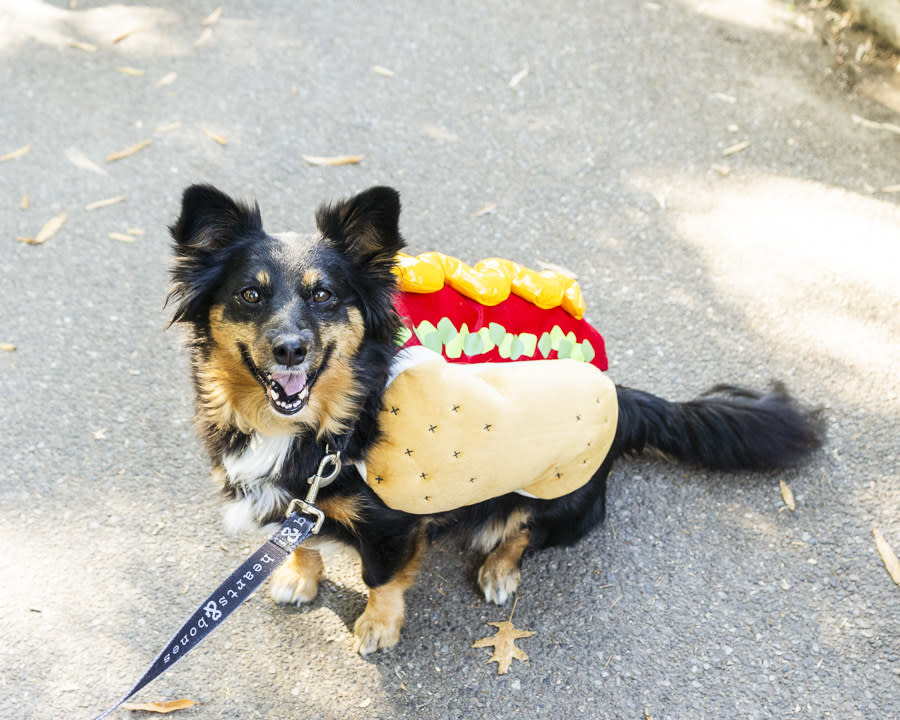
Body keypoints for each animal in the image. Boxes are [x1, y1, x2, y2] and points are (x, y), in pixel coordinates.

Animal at [169, 183, 824, 656]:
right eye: (250, 295)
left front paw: (378, 628)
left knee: (527, 531)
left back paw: (499, 570)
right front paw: (298, 578)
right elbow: (300, 543)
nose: (290, 350)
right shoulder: (295, 505)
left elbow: (382, 581)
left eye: (323, 295)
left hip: (559, 492)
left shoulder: (393, 526)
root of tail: (618, 393)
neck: (326, 424)